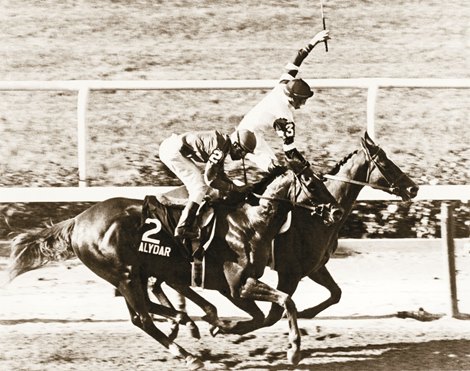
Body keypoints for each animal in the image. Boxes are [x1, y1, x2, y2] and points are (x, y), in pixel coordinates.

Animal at [6, 165, 342, 370]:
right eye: (312, 183)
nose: (337, 211)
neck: (249, 223)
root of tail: (77, 221)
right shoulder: (237, 284)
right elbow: (286, 301)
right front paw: (294, 350)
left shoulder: (231, 286)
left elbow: (261, 315)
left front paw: (224, 327)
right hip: (125, 273)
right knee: (142, 318)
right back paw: (188, 354)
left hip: (133, 273)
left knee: (144, 310)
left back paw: (187, 321)